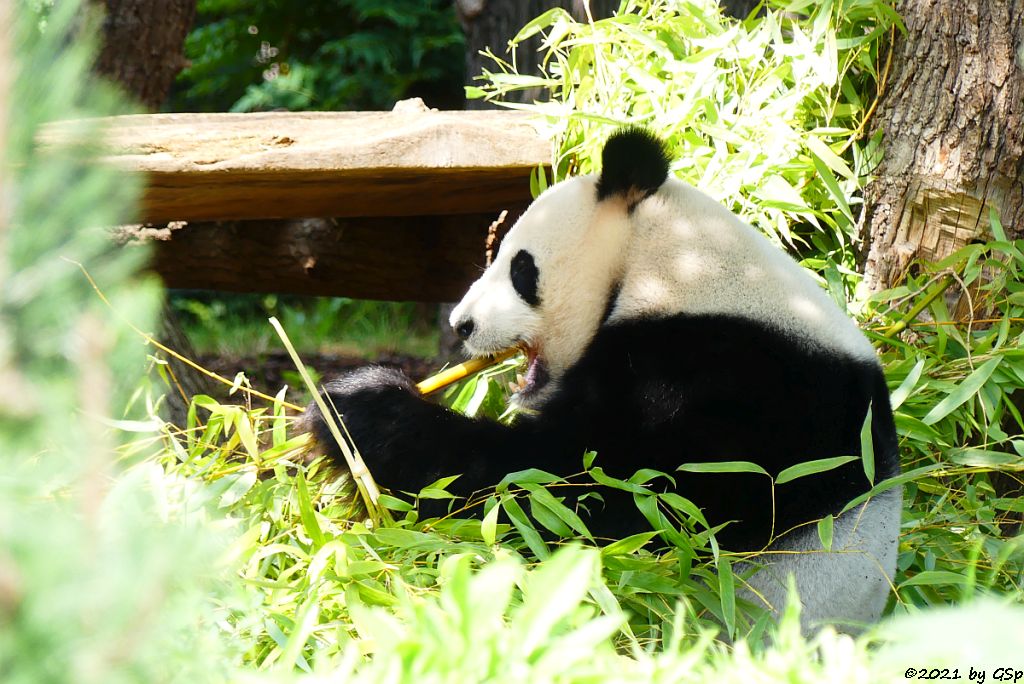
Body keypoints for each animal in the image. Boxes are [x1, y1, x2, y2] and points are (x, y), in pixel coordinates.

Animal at [305, 127, 905, 634]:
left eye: (521, 268)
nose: (462, 324)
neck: (679, 258)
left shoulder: (733, 389)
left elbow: (581, 492)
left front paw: (356, 407)